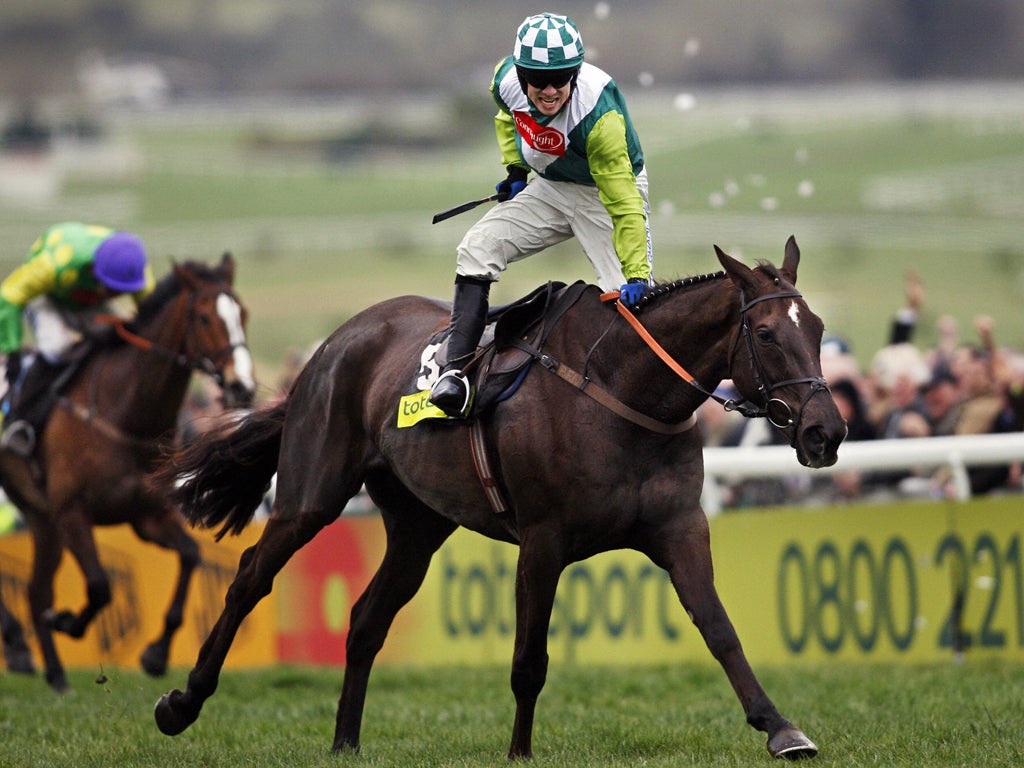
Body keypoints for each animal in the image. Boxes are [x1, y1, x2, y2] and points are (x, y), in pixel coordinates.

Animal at [0, 256, 254, 696]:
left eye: (242, 314)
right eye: (204, 317)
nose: (242, 386)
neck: (125, 413)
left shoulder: (146, 514)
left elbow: (191, 555)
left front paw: (156, 655)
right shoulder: (72, 511)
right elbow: (101, 586)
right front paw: (69, 621)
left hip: (39, 516)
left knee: (35, 590)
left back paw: (53, 672)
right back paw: (20, 643)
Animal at [155, 237, 843, 761]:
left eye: (818, 329)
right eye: (765, 333)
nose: (826, 432)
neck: (622, 390)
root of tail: (334, 342)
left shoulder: (679, 527)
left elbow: (719, 628)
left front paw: (781, 728)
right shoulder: (542, 541)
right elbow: (528, 660)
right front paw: (519, 752)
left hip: (418, 525)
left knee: (368, 618)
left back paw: (345, 741)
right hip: (312, 492)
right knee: (250, 578)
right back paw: (181, 703)